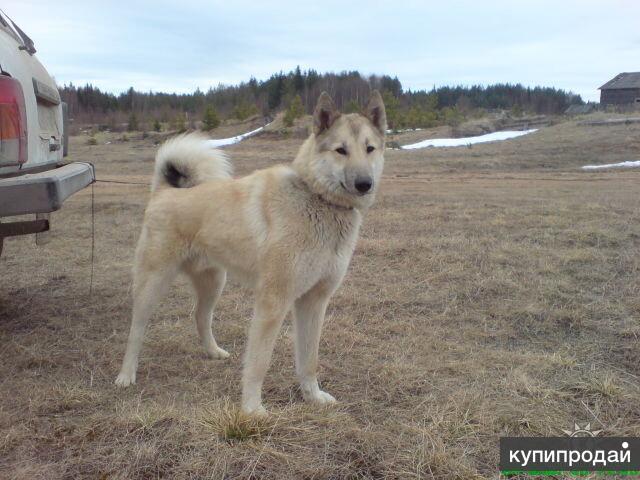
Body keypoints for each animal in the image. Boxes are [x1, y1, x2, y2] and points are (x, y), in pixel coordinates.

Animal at [114, 91, 384, 416]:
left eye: (369, 149)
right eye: (341, 150)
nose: (364, 184)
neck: (317, 199)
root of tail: (165, 192)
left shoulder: (314, 302)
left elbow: (309, 359)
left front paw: (312, 395)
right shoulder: (273, 303)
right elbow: (258, 363)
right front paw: (252, 409)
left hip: (213, 283)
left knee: (200, 316)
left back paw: (213, 351)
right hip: (153, 283)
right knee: (136, 330)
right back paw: (126, 374)